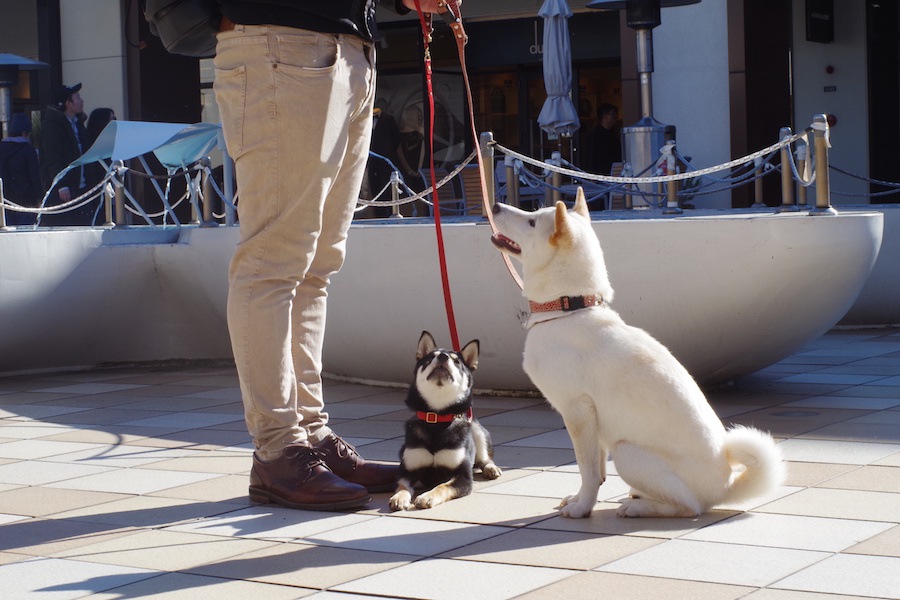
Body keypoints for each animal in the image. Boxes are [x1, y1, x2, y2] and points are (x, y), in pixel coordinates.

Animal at [390, 330, 502, 508]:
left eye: (457, 361)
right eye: (430, 358)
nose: (443, 356)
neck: (436, 418)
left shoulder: (463, 477)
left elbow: (442, 486)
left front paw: (427, 497)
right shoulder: (407, 470)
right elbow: (402, 485)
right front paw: (399, 497)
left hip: (477, 430)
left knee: (485, 457)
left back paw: (491, 468)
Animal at [488, 190, 784, 516]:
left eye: (531, 221)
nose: (495, 206)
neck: (569, 309)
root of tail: (724, 488)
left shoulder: (578, 411)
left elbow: (586, 469)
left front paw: (582, 508)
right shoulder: (591, 422)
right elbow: (596, 471)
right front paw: (579, 499)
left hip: (627, 452)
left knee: (688, 507)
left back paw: (640, 507)